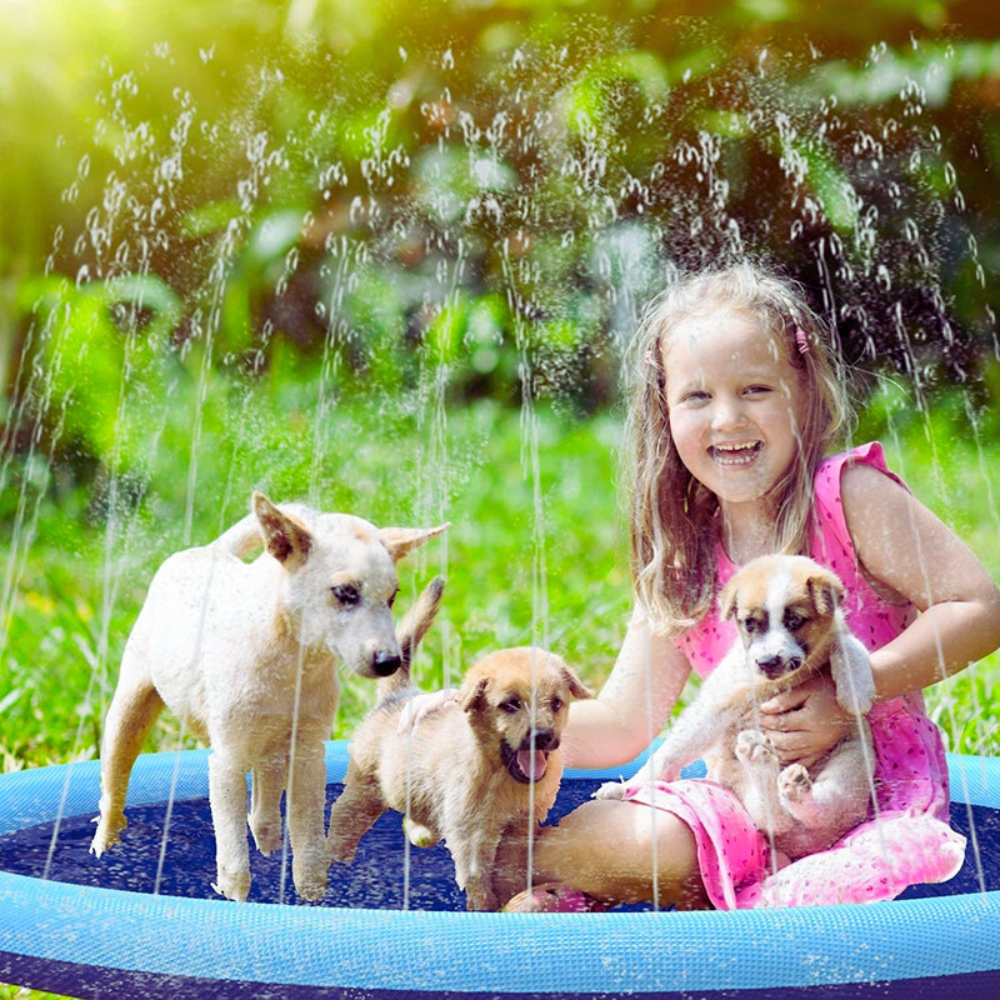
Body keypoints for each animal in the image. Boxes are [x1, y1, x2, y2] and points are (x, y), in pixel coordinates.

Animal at [88, 494, 448, 908]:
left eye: (392, 598)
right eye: (344, 593)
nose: (390, 662)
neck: (293, 662)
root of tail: (209, 551)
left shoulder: (308, 755)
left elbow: (309, 847)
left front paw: (312, 900)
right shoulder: (226, 763)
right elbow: (234, 860)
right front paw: (237, 900)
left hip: (273, 748)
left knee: (262, 811)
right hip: (131, 704)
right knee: (114, 786)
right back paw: (103, 848)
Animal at [328, 644, 592, 912]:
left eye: (556, 703)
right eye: (510, 704)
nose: (544, 736)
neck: (501, 776)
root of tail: (398, 695)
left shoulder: (520, 826)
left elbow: (511, 871)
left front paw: (513, 898)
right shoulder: (470, 832)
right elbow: (478, 878)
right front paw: (486, 907)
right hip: (364, 791)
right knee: (342, 819)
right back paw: (333, 864)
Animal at [600, 556, 876, 860]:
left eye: (794, 621)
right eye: (750, 624)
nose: (767, 662)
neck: (778, 682)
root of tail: (800, 844)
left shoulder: (835, 635)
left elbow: (847, 641)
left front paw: (855, 688)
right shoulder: (716, 706)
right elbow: (669, 753)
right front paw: (625, 787)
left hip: (852, 762)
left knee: (816, 808)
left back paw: (791, 786)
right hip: (740, 784)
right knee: (775, 817)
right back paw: (762, 762)